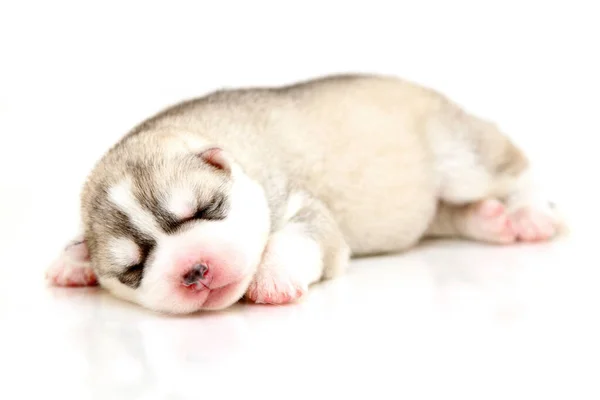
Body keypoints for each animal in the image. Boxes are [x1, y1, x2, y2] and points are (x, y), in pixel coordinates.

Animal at [45, 73, 564, 314]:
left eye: (207, 209)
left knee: (516, 170)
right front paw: (73, 259)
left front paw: (273, 277)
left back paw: (530, 213)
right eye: (133, 269)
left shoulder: (305, 207)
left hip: (460, 157)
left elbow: (294, 237)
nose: (195, 269)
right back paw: (490, 221)